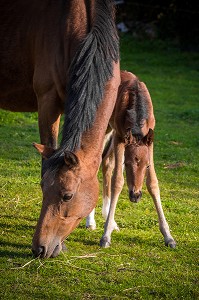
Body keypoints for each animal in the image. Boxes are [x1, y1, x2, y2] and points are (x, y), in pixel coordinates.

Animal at [86, 70, 176, 248]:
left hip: (110, 130)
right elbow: (118, 181)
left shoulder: (150, 141)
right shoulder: (120, 137)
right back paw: (91, 221)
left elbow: (153, 183)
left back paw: (108, 217)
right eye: (126, 164)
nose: (136, 196)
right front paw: (105, 236)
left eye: (146, 166)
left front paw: (168, 236)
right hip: (104, 126)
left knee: (106, 163)